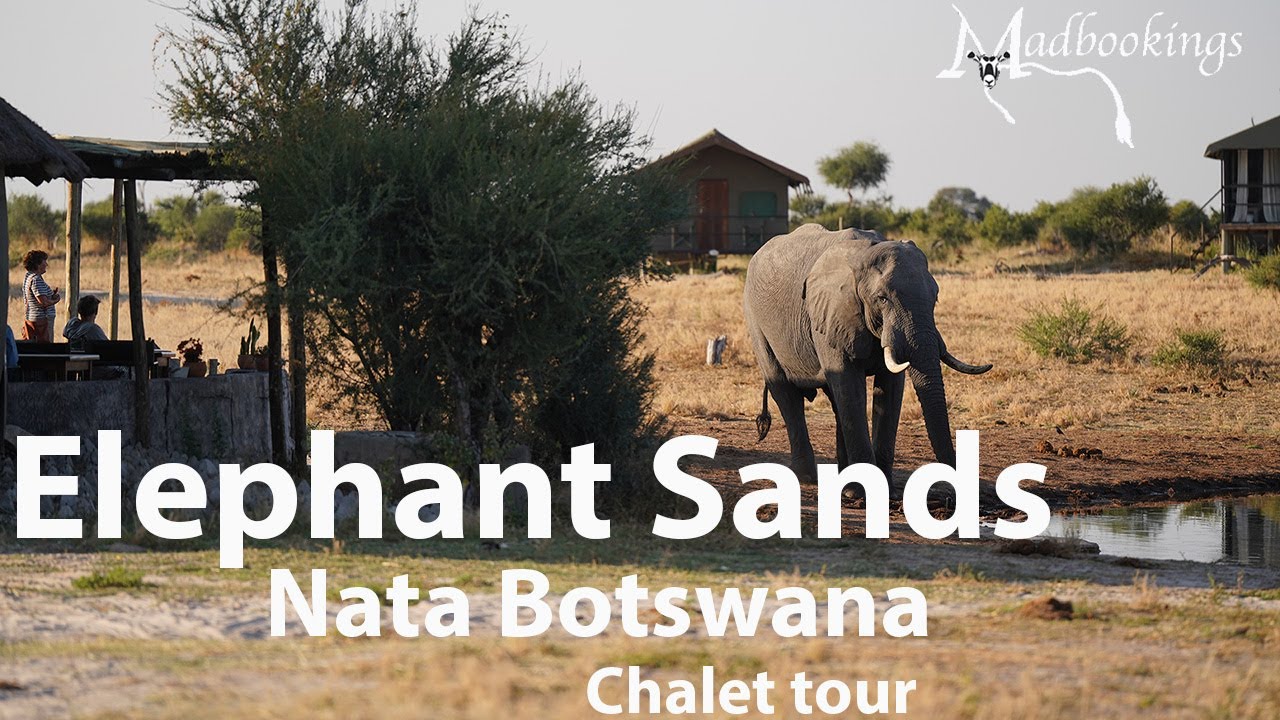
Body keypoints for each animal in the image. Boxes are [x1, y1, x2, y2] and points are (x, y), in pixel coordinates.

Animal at [743, 224, 991, 484]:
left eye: (935, 297)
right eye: (882, 298)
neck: (863, 253)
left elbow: (890, 391)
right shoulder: (830, 313)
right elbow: (850, 388)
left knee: (835, 401)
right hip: (755, 320)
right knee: (785, 392)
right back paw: (807, 478)